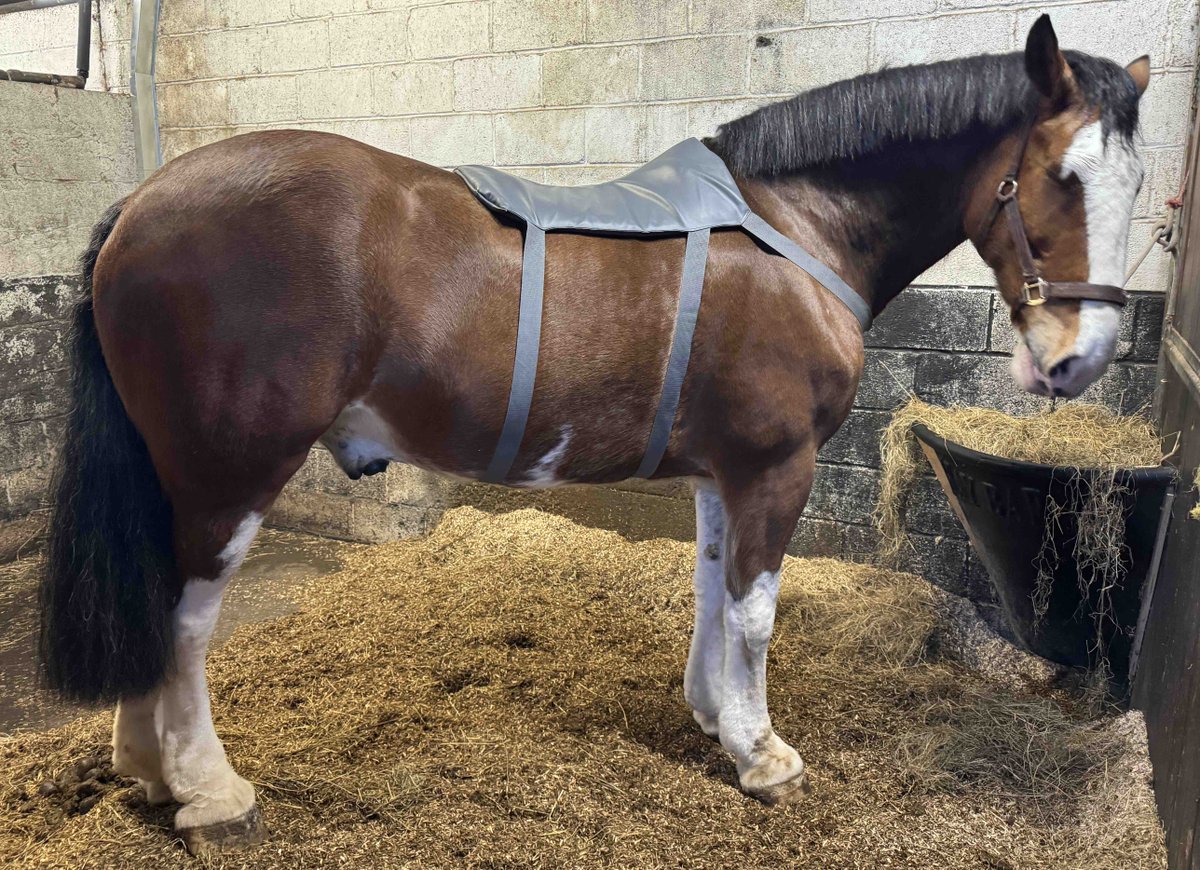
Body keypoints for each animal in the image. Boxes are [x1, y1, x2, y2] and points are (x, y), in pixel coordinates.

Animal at [42, 16, 1152, 849]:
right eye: (1058, 175)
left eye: (1134, 186)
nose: (1080, 360)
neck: (797, 227)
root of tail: (142, 201)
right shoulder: (776, 467)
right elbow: (756, 613)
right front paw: (763, 757)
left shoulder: (723, 472)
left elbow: (711, 594)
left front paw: (714, 717)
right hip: (229, 473)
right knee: (185, 619)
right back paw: (208, 790)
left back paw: (148, 773)